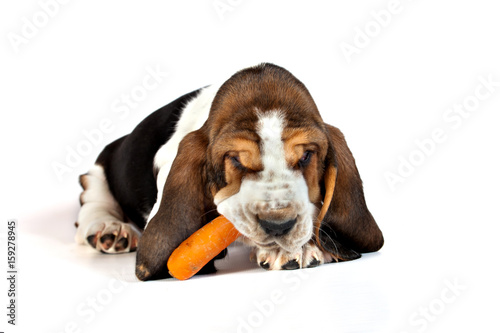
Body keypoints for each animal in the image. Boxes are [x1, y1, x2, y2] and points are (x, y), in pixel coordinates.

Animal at [76, 63, 384, 280]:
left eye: (307, 155)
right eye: (235, 159)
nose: (278, 225)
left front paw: (303, 247)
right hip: (99, 169)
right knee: (91, 200)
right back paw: (110, 229)